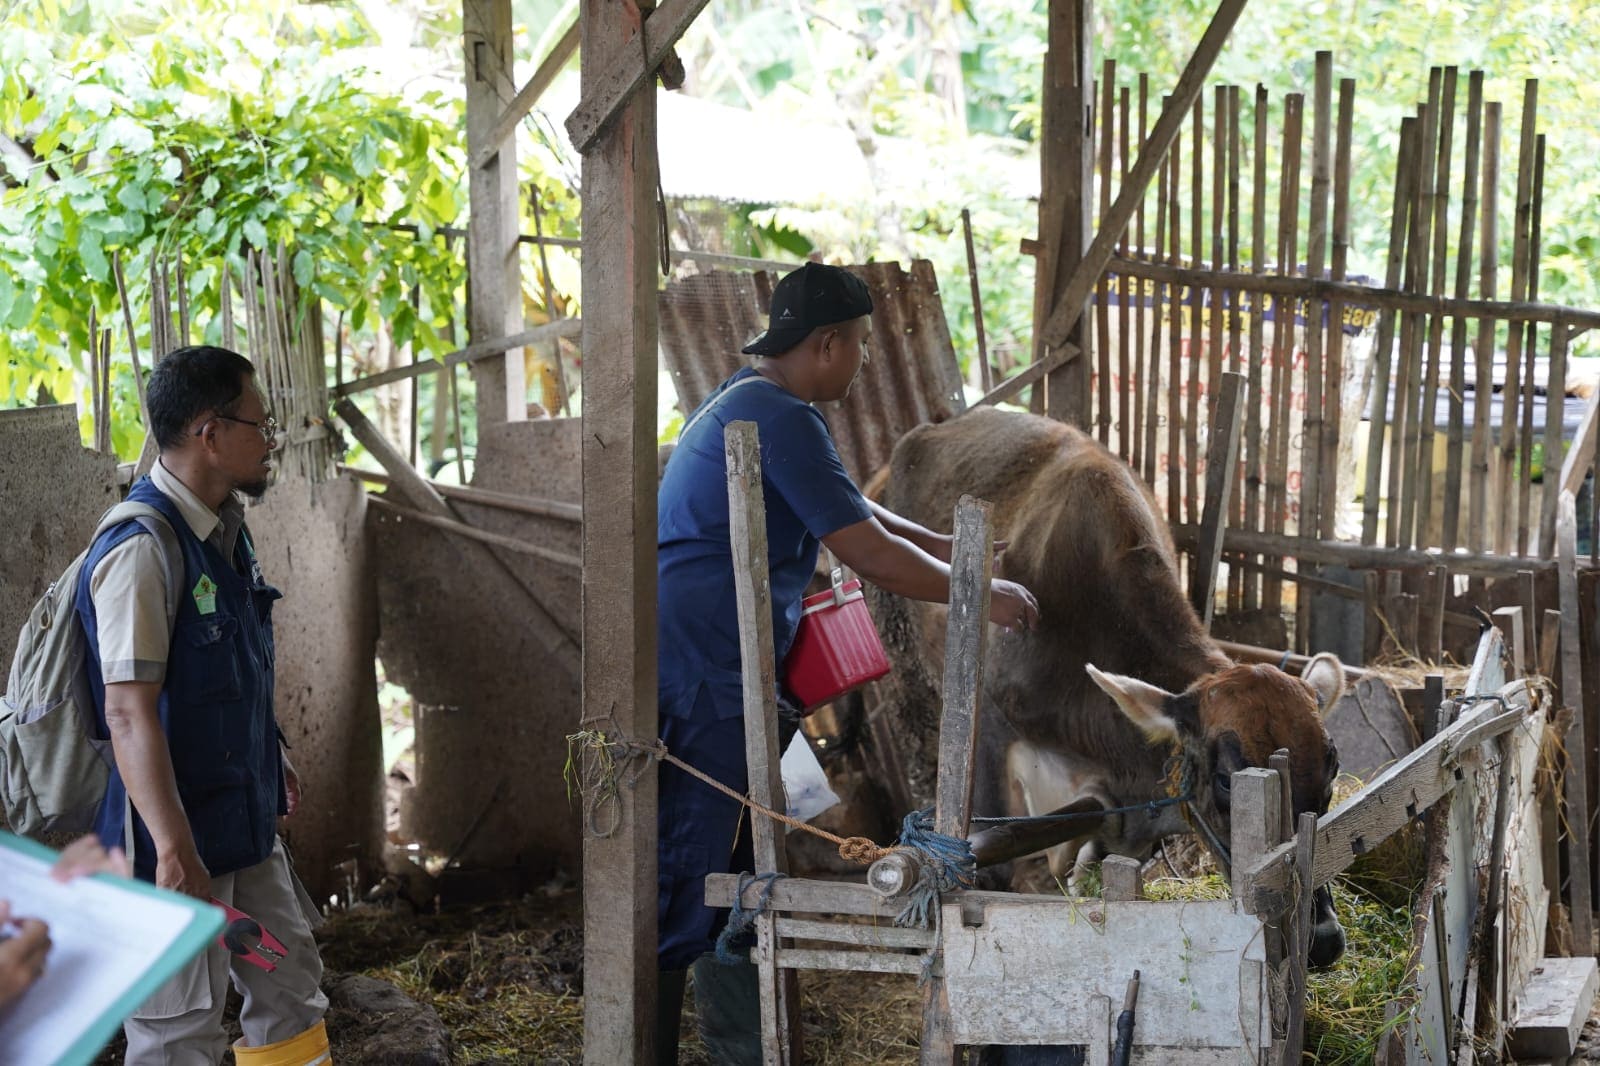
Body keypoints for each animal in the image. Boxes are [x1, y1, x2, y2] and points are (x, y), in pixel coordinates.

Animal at [876, 404, 1350, 960]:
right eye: (1224, 779)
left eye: (1331, 773)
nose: (1323, 941)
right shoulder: (991, 741)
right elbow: (988, 869)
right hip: (907, 675)